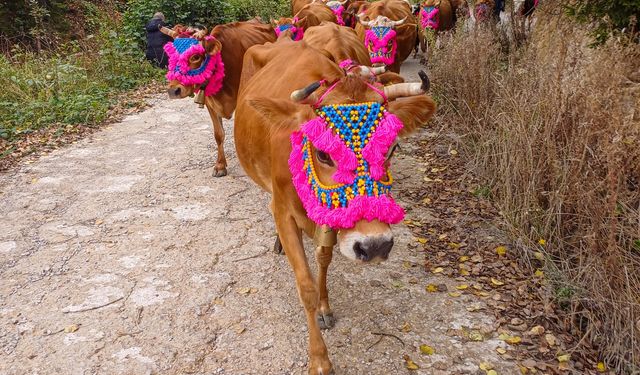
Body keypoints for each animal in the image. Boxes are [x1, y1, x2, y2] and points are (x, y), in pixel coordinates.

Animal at [160, 20, 276, 178]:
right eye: (171, 57)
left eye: (195, 56)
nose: (173, 90)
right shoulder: (210, 102)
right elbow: (218, 134)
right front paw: (220, 165)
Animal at [235, 39, 436, 375]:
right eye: (323, 153)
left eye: (391, 147)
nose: (376, 245)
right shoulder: (284, 210)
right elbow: (305, 286)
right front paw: (319, 360)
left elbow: (324, 259)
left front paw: (325, 306)